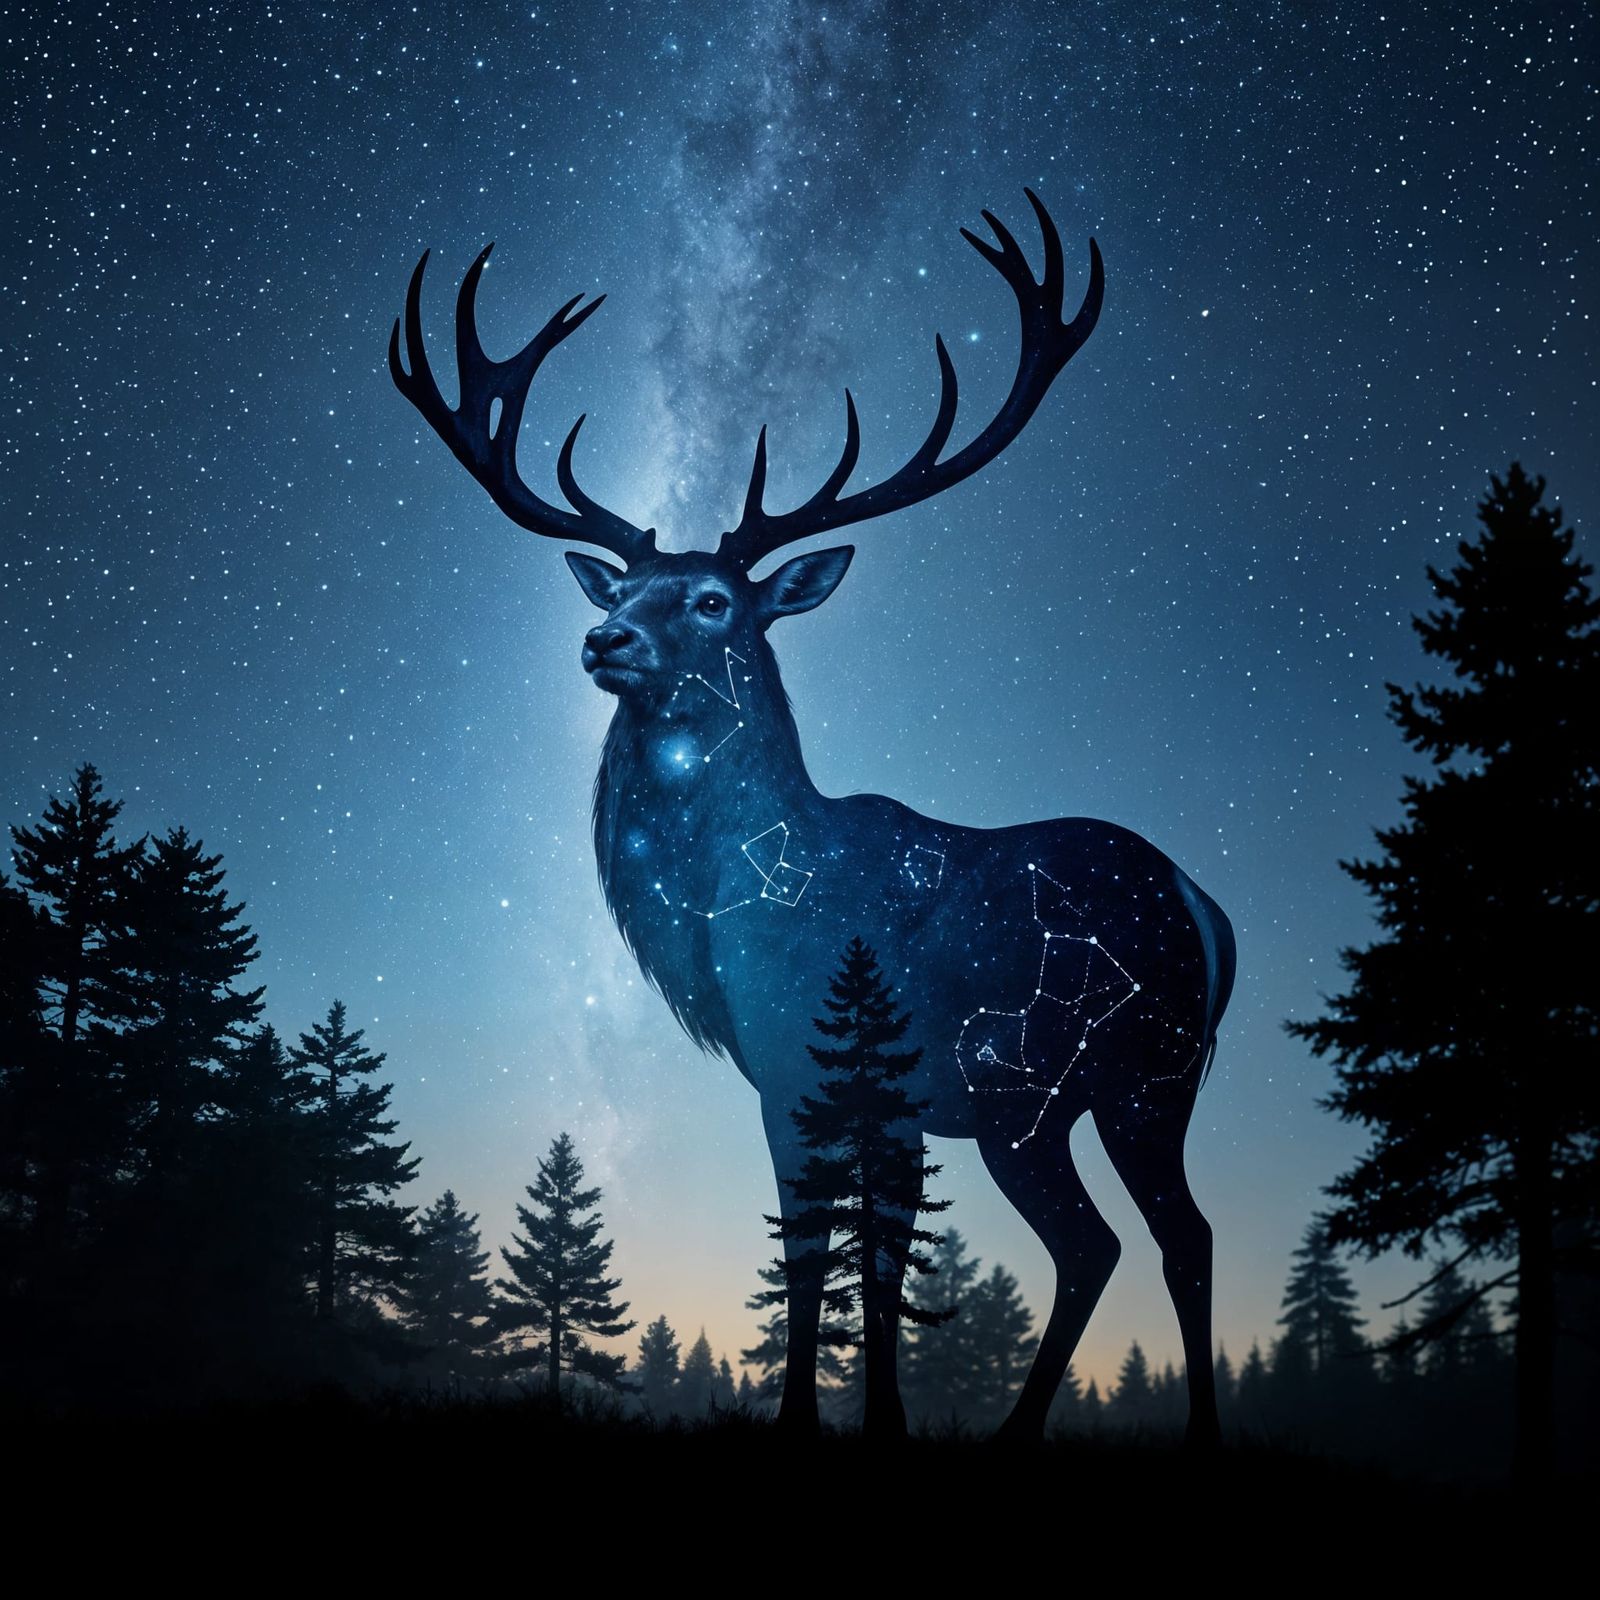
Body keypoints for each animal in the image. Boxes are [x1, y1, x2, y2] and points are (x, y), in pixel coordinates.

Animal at [389, 190, 1237, 1444]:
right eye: (625, 587)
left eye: (712, 599)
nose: (602, 639)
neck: (730, 918)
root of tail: (1205, 906)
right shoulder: (851, 1089)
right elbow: (861, 1262)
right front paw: (870, 1418)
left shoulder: (810, 1065)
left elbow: (818, 1252)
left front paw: (812, 1420)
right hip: (1099, 1093)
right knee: (1156, 1237)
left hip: (1090, 1076)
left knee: (1118, 1238)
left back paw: (1055, 1432)